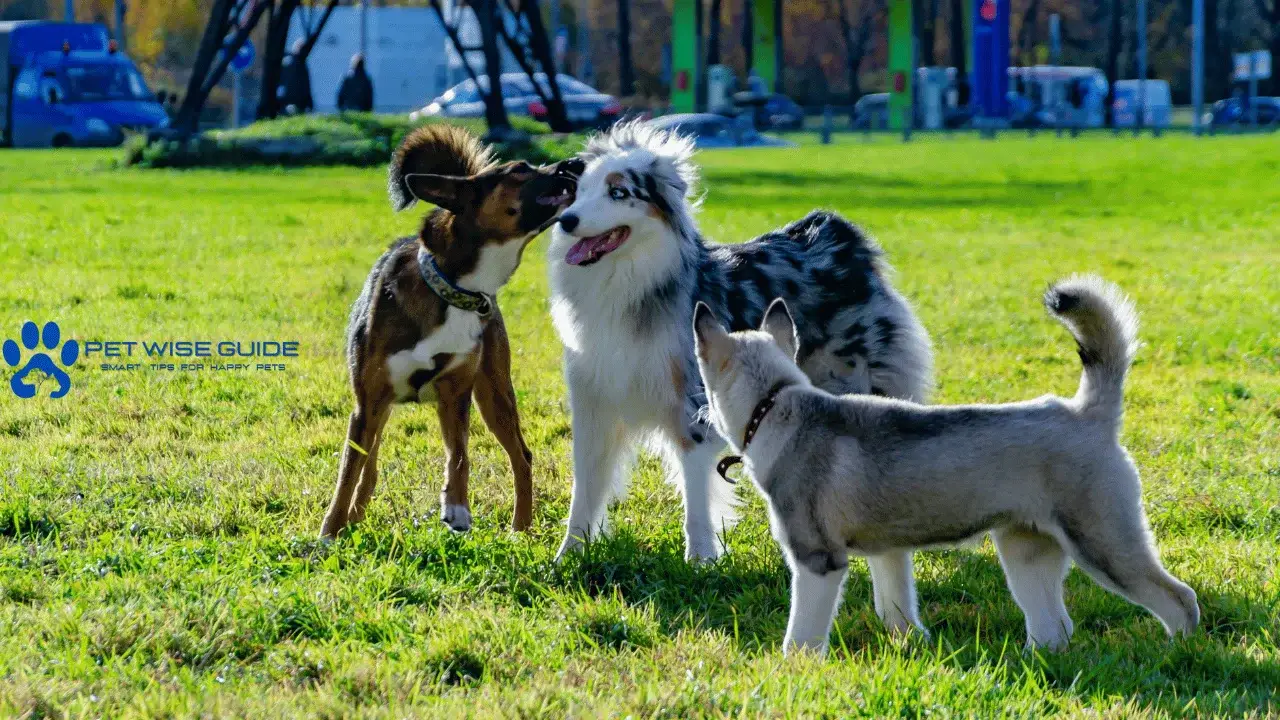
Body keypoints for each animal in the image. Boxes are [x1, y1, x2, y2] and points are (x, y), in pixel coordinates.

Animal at [320, 126, 581, 535]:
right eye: (519, 170)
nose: (576, 164)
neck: (454, 286)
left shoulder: (456, 394)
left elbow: (459, 455)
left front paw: (457, 507)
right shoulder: (368, 403)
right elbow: (349, 473)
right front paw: (329, 533)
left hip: (494, 392)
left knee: (521, 455)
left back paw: (520, 529)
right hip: (383, 408)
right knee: (369, 464)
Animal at [545, 117, 936, 622]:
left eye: (618, 192)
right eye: (578, 191)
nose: (567, 221)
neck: (628, 289)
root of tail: (835, 233)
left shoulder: (692, 410)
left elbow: (696, 500)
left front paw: (699, 563)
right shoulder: (594, 409)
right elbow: (585, 491)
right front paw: (567, 555)